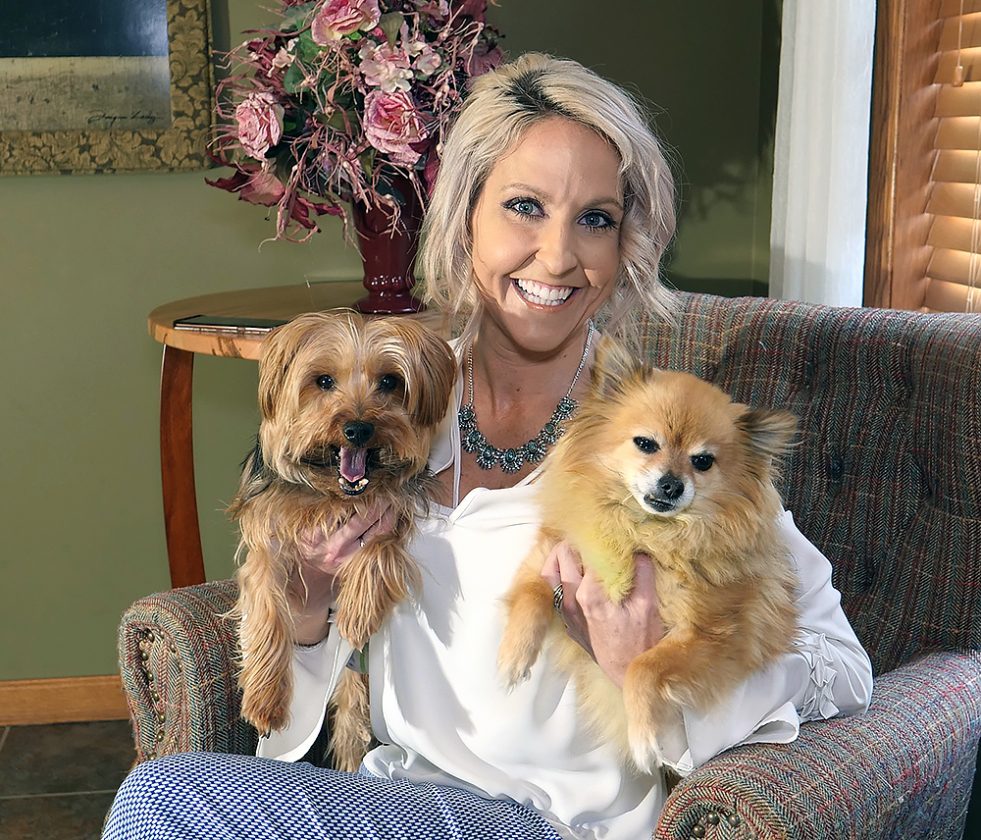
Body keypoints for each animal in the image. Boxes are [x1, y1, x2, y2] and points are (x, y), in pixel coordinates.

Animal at [229, 310, 456, 771]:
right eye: (323, 381)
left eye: (389, 381)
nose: (358, 429)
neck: (332, 497)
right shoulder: (266, 541)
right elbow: (267, 609)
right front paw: (265, 699)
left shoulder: (391, 512)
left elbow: (380, 548)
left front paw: (357, 610)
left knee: (353, 721)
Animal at [498, 337, 799, 770]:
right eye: (646, 444)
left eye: (702, 462)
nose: (672, 484)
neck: (644, 531)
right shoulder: (550, 556)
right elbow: (532, 594)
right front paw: (514, 656)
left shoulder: (709, 636)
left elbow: (642, 666)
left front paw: (644, 737)